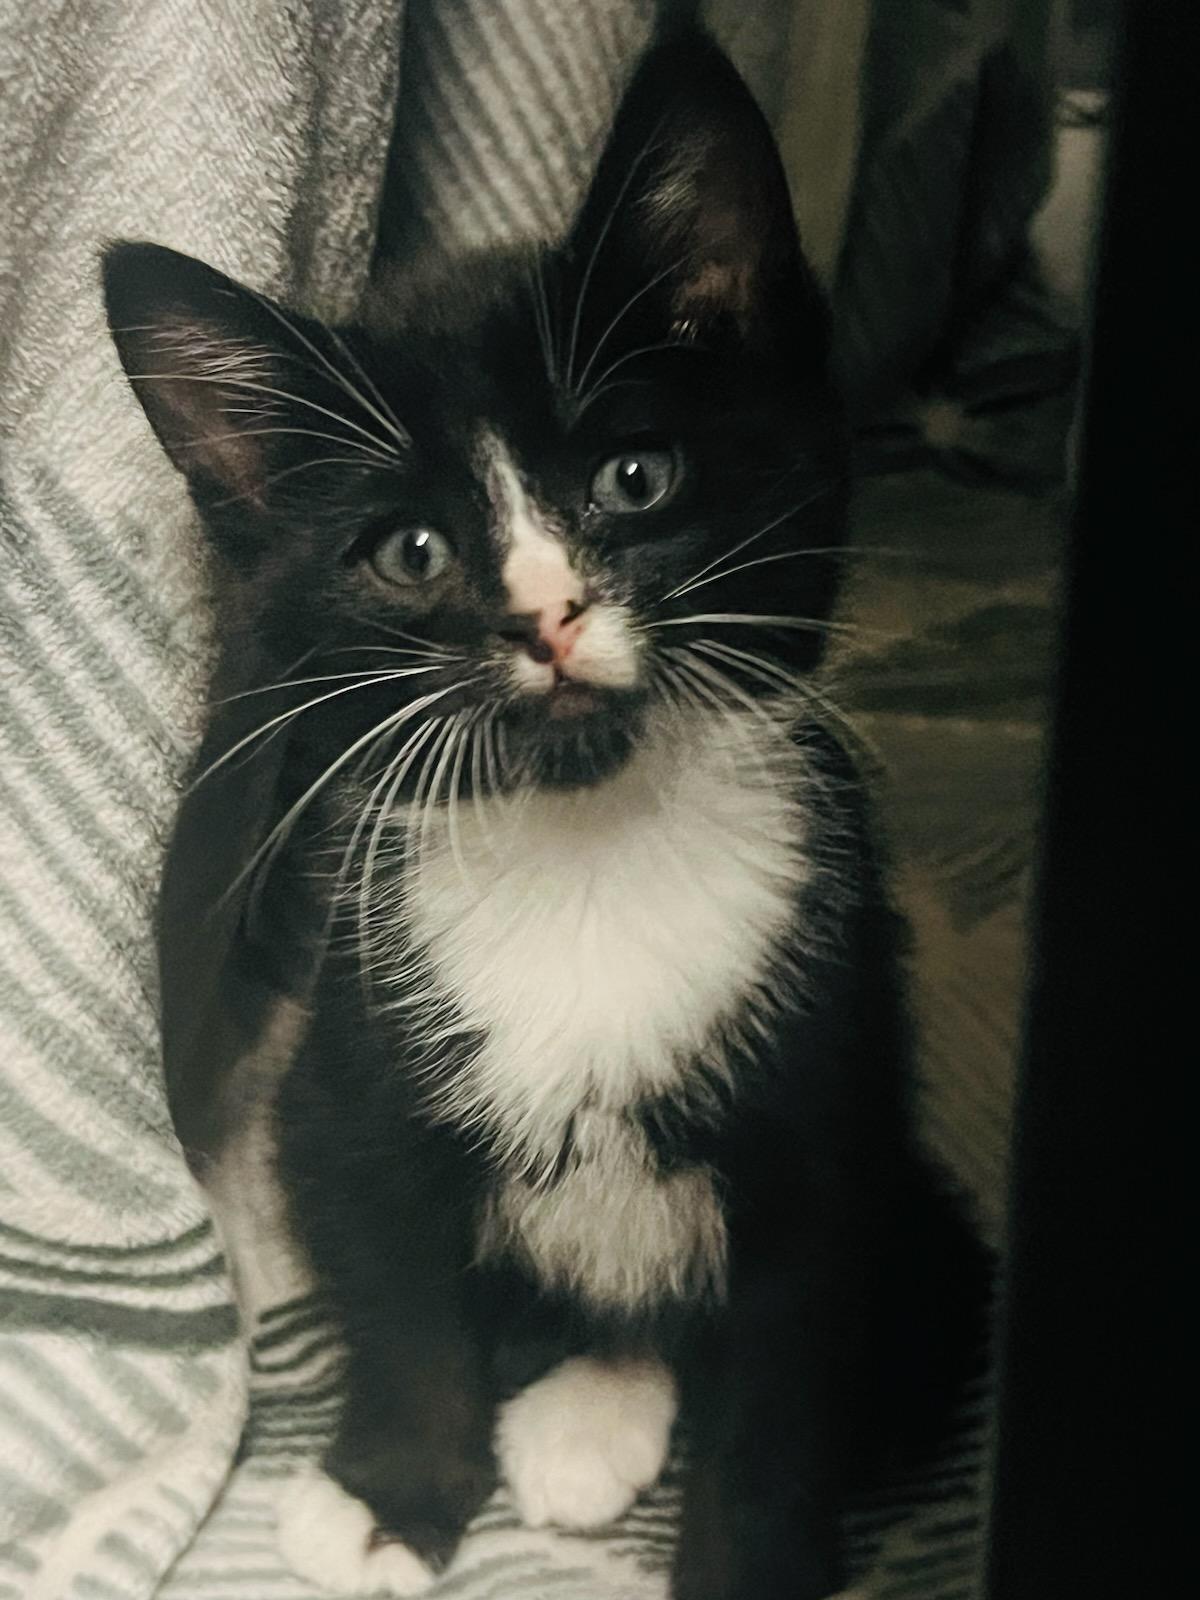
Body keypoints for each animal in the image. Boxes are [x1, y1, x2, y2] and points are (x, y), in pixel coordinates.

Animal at [103, 25, 985, 1600]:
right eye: (410, 552)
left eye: (635, 477)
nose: (545, 616)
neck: (591, 856)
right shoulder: (356, 1087)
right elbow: (405, 1310)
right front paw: (391, 1494)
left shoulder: (829, 1128)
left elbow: (779, 1393)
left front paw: (747, 1559)